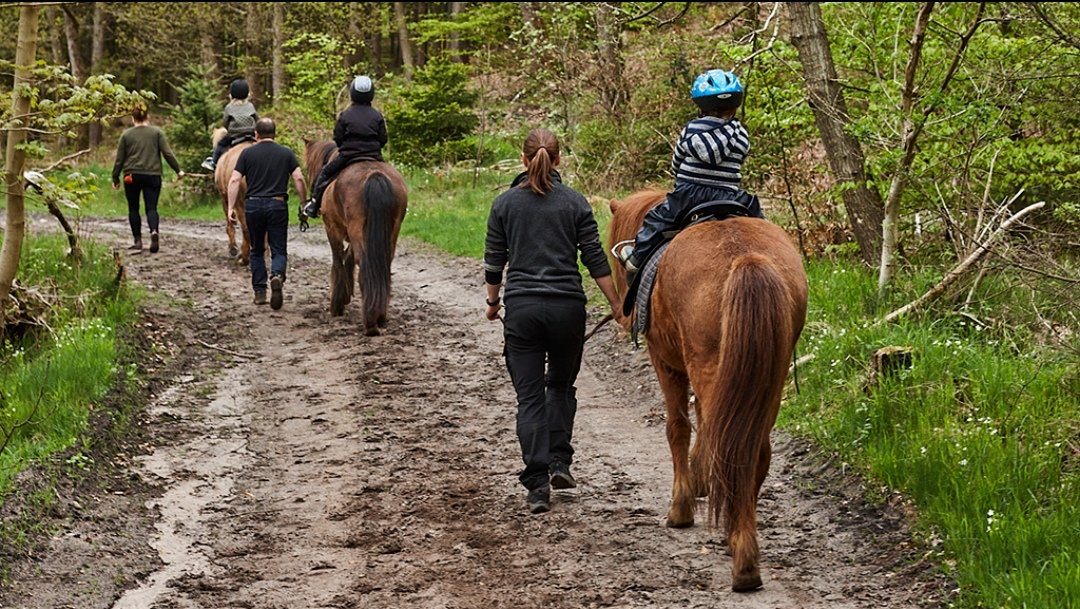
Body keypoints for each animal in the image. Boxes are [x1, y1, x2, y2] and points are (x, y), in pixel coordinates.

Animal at [211, 127, 256, 265]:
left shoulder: (225, 198)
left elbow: (229, 222)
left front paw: (233, 248)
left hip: (240, 203)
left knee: (246, 229)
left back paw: (244, 257)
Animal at [303, 140, 408, 335]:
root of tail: (375, 176)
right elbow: (348, 260)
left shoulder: (332, 229)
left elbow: (338, 261)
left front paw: (336, 305)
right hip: (390, 232)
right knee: (383, 264)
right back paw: (380, 316)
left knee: (364, 265)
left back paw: (370, 322)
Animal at [607, 189, 808, 592]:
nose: (620, 310)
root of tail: (746, 257)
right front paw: (701, 479)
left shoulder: (666, 363)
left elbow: (678, 428)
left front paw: (681, 507)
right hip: (768, 381)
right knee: (750, 451)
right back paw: (741, 539)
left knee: (727, 446)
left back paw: (742, 560)